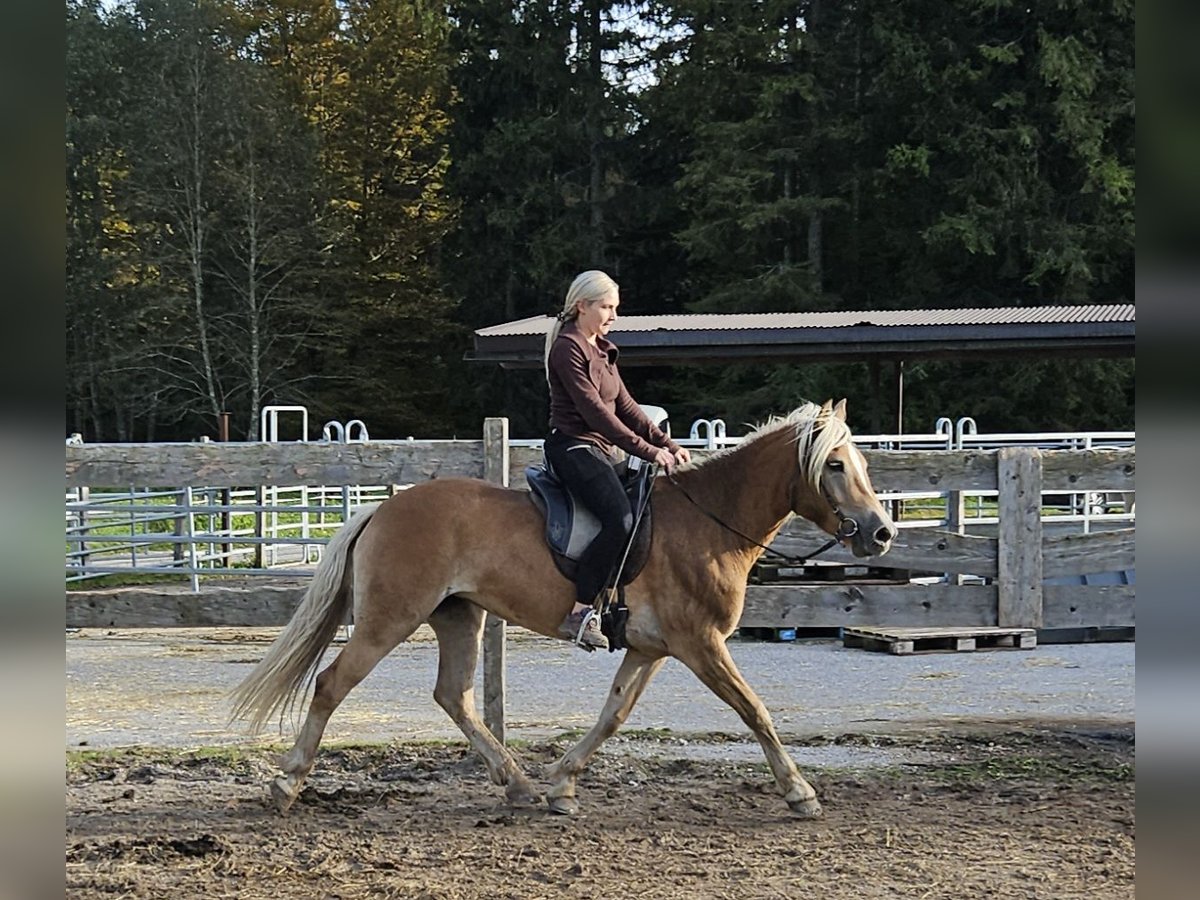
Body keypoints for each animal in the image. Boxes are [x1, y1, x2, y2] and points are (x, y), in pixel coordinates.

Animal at [229, 398, 897, 820]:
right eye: (835, 465)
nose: (881, 532)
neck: (708, 523)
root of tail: (383, 508)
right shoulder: (701, 644)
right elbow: (755, 710)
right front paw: (800, 793)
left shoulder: (653, 649)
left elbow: (612, 716)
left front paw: (560, 785)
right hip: (389, 619)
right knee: (331, 684)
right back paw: (285, 785)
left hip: (459, 616)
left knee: (454, 696)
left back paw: (520, 785)